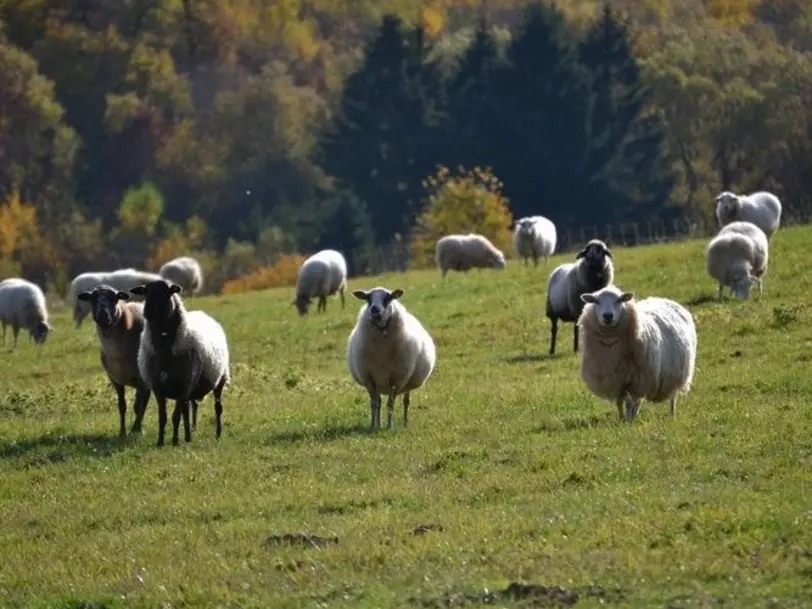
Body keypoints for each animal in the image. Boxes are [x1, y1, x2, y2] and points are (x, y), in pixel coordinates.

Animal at [77, 284, 152, 436]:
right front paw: (122, 432)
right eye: (92, 298)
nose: (103, 316)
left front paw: (137, 430)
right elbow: (122, 406)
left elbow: (138, 406)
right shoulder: (115, 380)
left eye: (115, 298)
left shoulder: (141, 380)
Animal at [130, 280, 230, 446]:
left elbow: (175, 416)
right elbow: (163, 417)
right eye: (145, 292)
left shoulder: (184, 384)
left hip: (220, 378)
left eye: (167, 292)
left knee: (218, 407)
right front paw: (161, 442)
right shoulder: (158, 387)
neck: (165, 351)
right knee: (187, 410)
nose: (147, 312)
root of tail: (202, 313)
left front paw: (175, 441)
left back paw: (218, 433)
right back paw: (188, 437)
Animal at [348, 288, 438, 430]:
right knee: (379, 401)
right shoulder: (369, 379)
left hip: (406, 383)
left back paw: (405, 423)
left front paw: (389, 427)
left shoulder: (397, 380)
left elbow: (390, 404)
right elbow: (374, 404)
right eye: (368, 298)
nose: (374, 309)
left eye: (388, 298)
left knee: (406, 402)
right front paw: (373, 426)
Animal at [576, 284, 696, 418]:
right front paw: (622, 418)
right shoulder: (617, 380)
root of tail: (665, 299)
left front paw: (629, 419)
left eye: (620, 300)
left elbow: (630, 403)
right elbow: (619, 402)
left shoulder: (637, 380)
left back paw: (671, 414)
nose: (608, 316)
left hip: (675, 373)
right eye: (596, 301)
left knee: (672, 397)